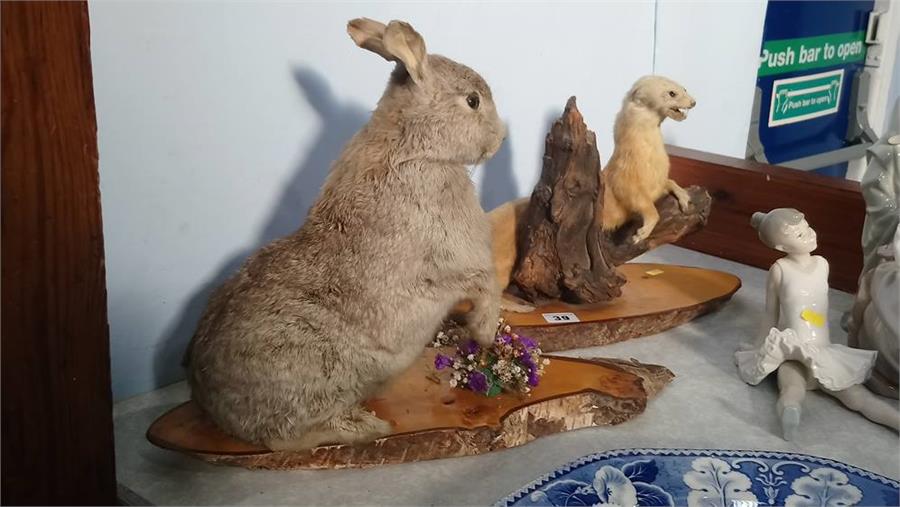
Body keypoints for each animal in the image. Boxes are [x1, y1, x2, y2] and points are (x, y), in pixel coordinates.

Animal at [186, 17, 506, 450]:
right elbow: (488, 283)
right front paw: (484, 333)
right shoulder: (452, 261)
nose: (501, 138)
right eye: (472, 100)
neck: (419, 149)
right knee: (285, 437)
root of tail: (212, 405)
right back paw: (367, 427)